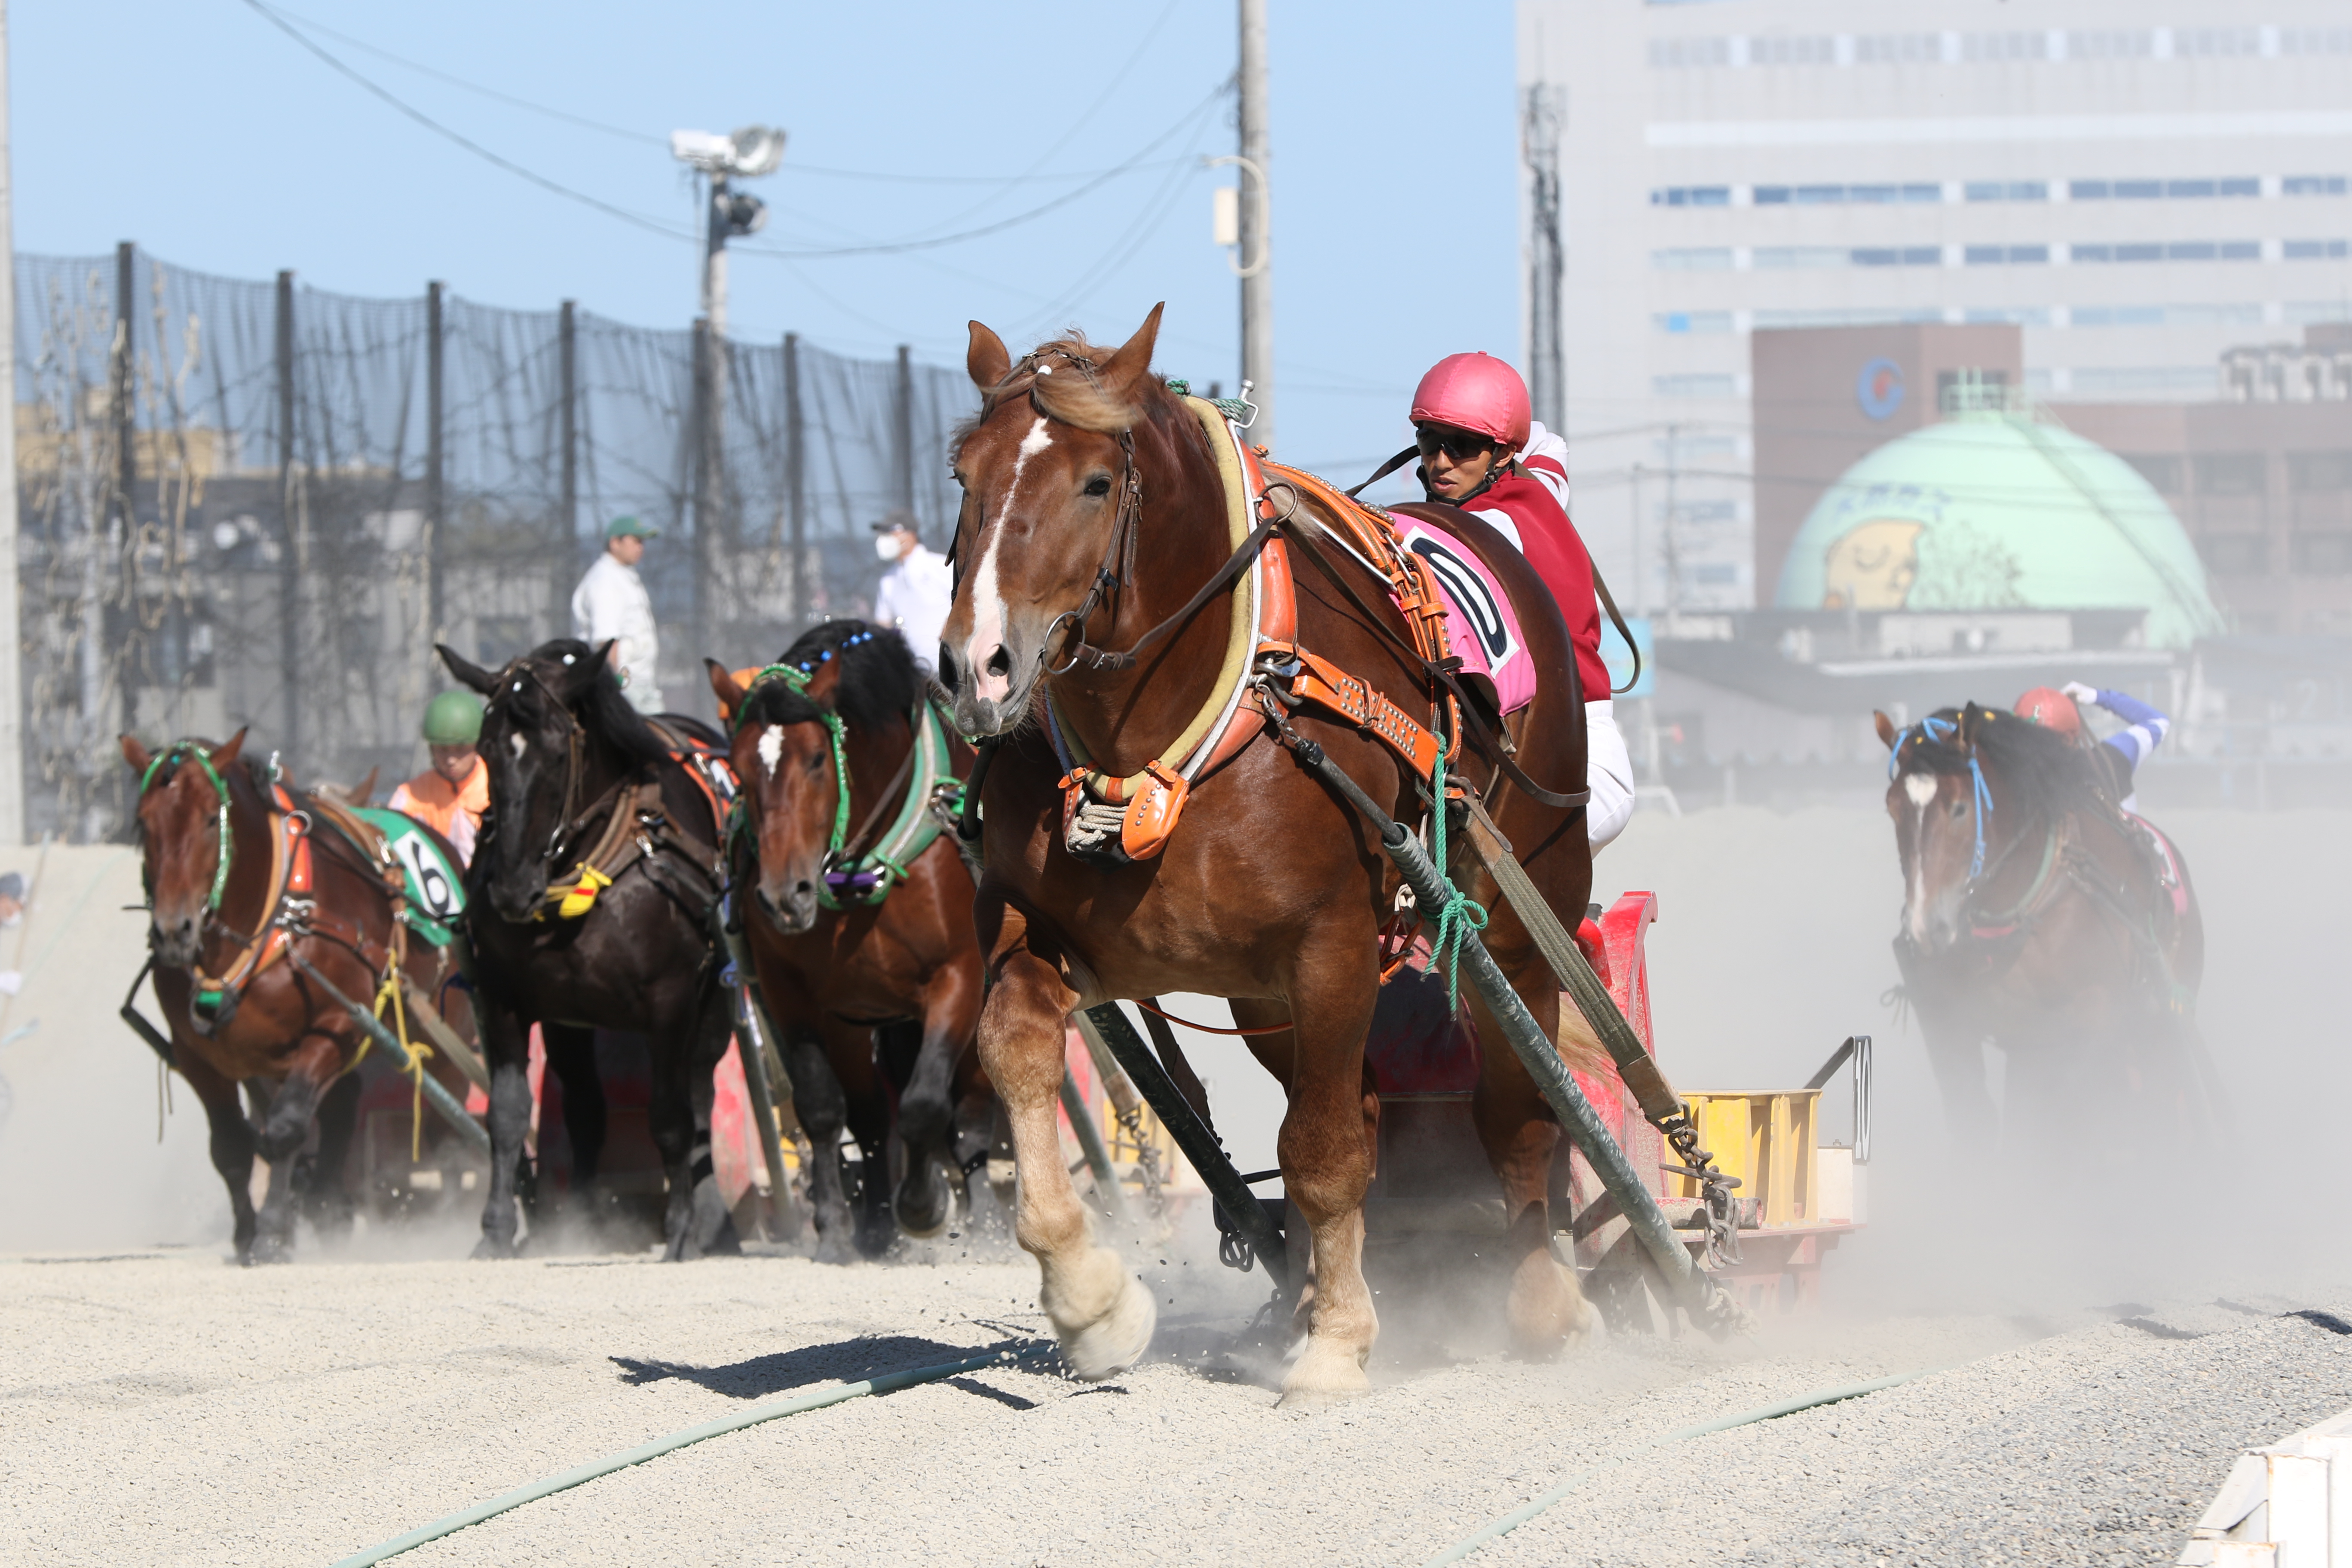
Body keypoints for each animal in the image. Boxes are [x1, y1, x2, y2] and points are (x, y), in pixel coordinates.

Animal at [120, 729, 474, 1263]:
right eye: (144, 823)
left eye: (208, 819)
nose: (173, 931)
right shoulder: (201, 1056)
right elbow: (232, 1146)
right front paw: (250, 1230)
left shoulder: (335, 1026)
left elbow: (286, 1127)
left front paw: (271, 1233)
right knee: (345, 1105)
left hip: (448, 1033)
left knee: (450, 1128)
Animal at [436, 637, 740, 1260]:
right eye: (486, 751)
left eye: (557, 755)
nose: (511, 889)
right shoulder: (504, 1000)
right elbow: (508, 1115)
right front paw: (498, 1229)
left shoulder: (672, 1001)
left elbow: (672, 1117)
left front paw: (680, 1228)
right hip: (568, 1018)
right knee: (584, 1107)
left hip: (711, 1005)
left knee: (698, 1096)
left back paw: (707, 1219)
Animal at [706, 620, 997, 1260]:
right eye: (737, 767)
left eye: (818, 759)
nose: (783, 896)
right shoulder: (796, 995)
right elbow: (824, 1108)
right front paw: (839, 1226)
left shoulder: (960, 976)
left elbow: (925, 1105)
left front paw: (924, 1206)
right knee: (867, 1117)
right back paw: (877, 1225)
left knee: (970, 1113)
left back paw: (987, 1217)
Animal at [933, 306, 1603, 1404]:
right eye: (963, 475)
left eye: (1095, 482)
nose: (976, 665)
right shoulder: (1040, 935)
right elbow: (1017, 1049)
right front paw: (1091, 1302)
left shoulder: (1331, 946)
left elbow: (1325, 1155)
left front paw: (1335, 1348)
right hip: (1262, 1000)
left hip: (1518, 907)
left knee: (1518, 1105)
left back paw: (1543, 1294)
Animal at [1874, 703, 2211, 1148]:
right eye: (1893, 808)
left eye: (1960, 808)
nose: (1926, 926)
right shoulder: (1954, 1019)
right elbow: (1973, 1113)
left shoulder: (2092, 1017)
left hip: (2156, 1022)